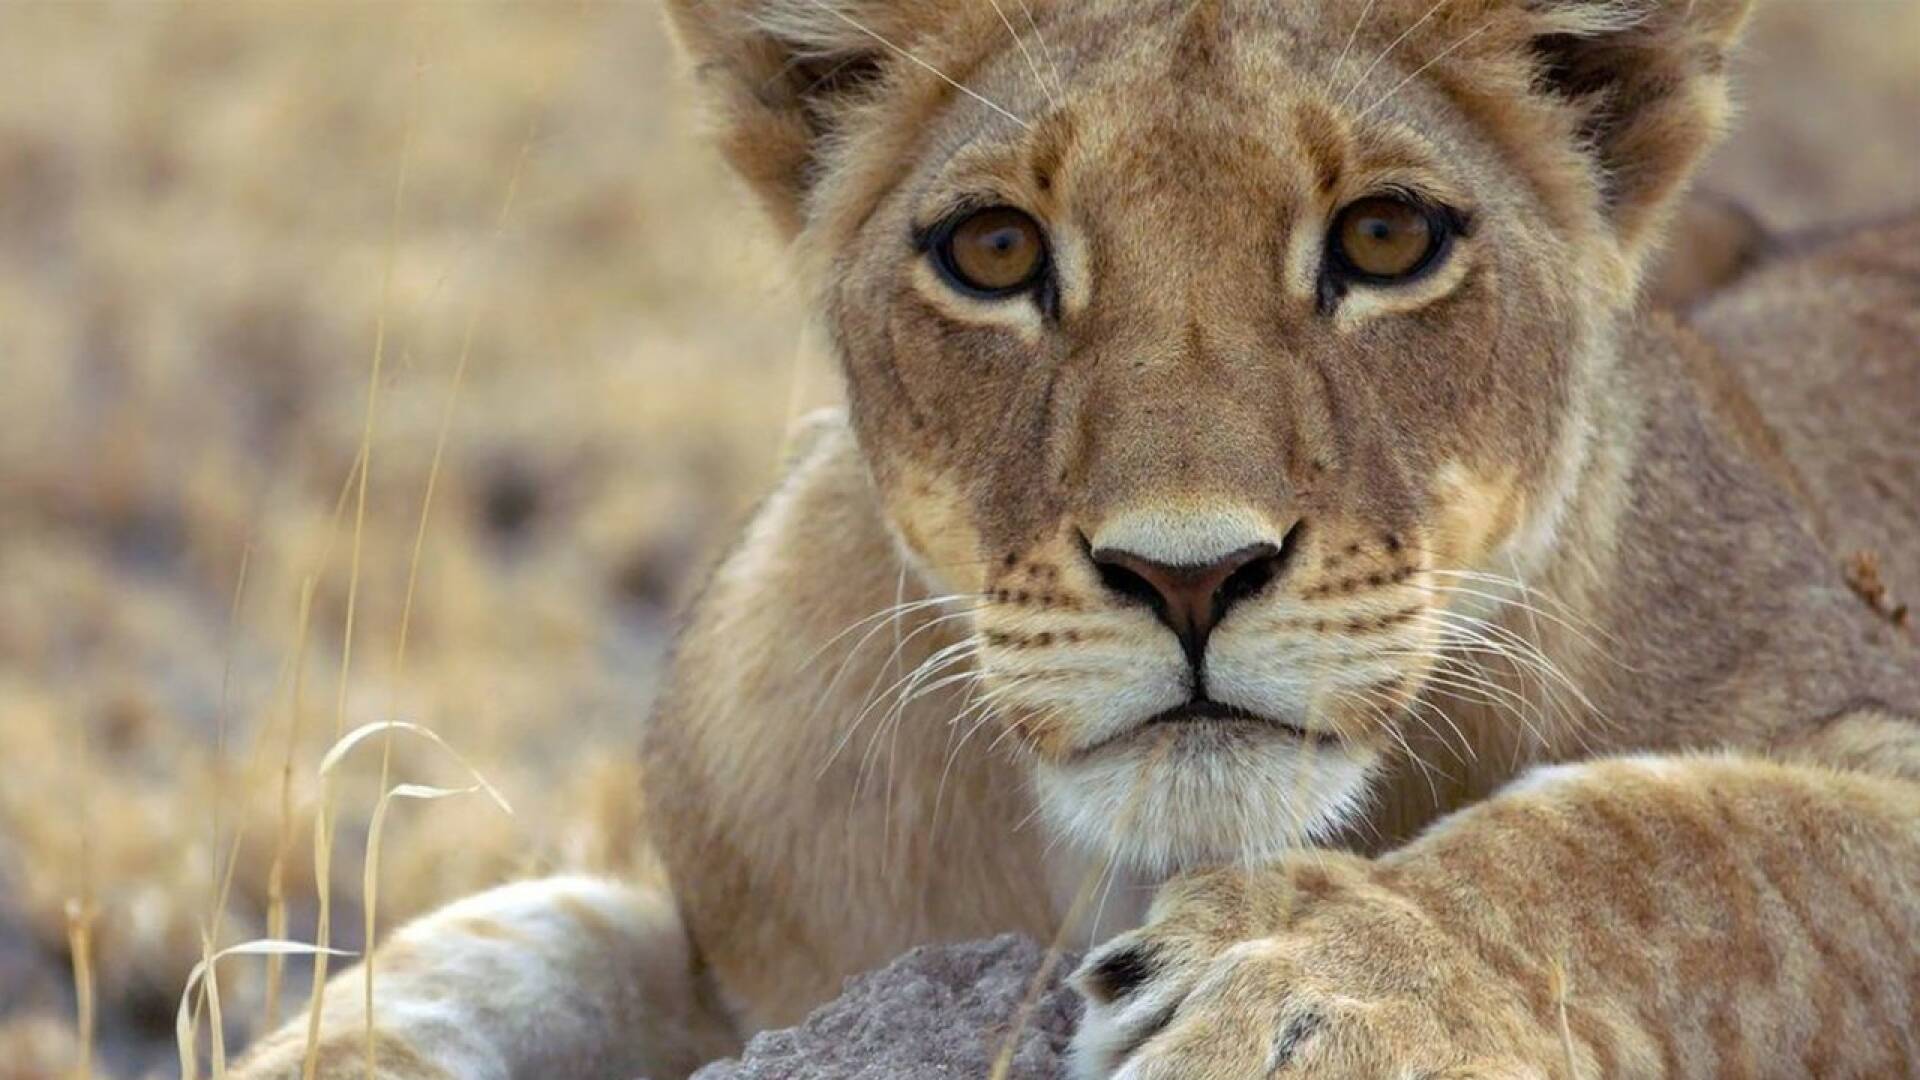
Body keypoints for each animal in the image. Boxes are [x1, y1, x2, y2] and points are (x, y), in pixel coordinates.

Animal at [232, 0, 1912, 1068]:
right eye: (994, 252)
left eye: (1385, 239)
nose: (1191, 575)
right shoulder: (744, 949)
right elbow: (486, 949)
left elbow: (1679, 847)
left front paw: (1299, 995)